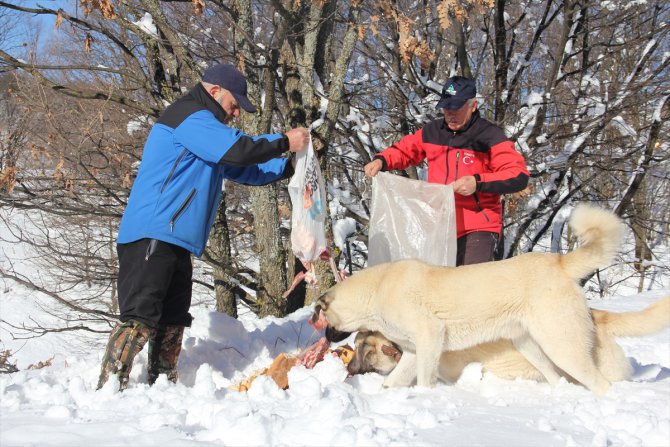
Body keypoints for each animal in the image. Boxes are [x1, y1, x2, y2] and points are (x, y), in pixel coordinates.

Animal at [316, 206, 632, 396]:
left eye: (323, 318)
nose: (327, 338)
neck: (376, 290)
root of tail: (559, 262)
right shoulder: (415, 350)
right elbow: (392, 381)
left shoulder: (430, 337)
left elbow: (425, 380)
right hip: (532, 347)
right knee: (558, 379)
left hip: (562, 345)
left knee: (601, 384)